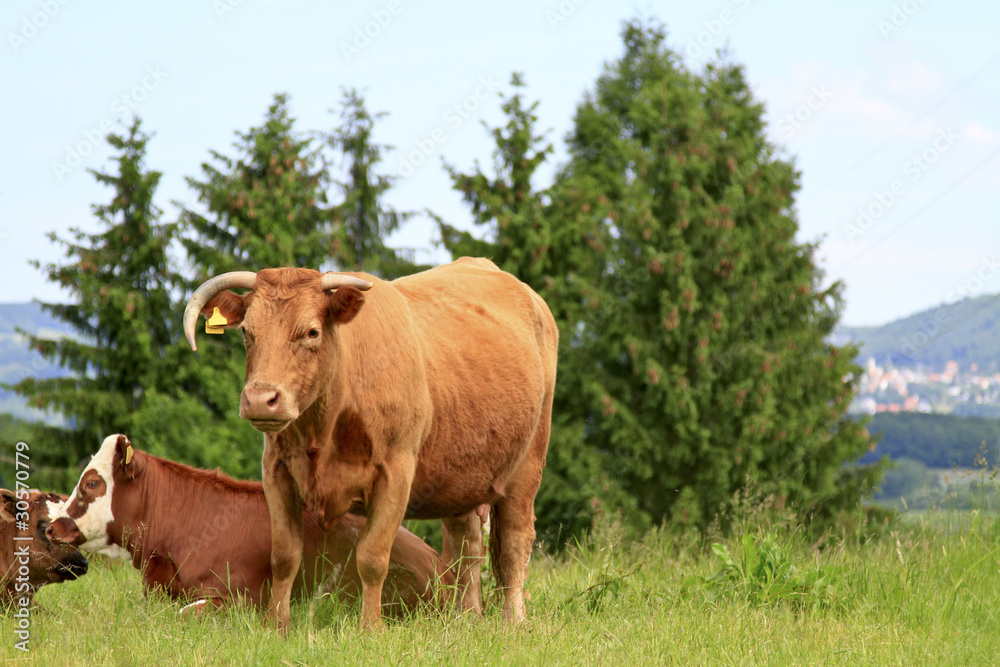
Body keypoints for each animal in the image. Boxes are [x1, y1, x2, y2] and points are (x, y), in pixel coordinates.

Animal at [184, 258, 560, 632]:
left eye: (311, 332)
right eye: (247, 332)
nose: (262, 399)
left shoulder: (396, 475)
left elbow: (373, 557)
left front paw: (370, 628)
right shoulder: (276, 471)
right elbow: (284, 555)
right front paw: (277, 625)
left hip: (527, 466)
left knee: (514, 542)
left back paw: (513, 621)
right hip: (461, 478)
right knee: (465, 546)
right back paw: (465, 618)